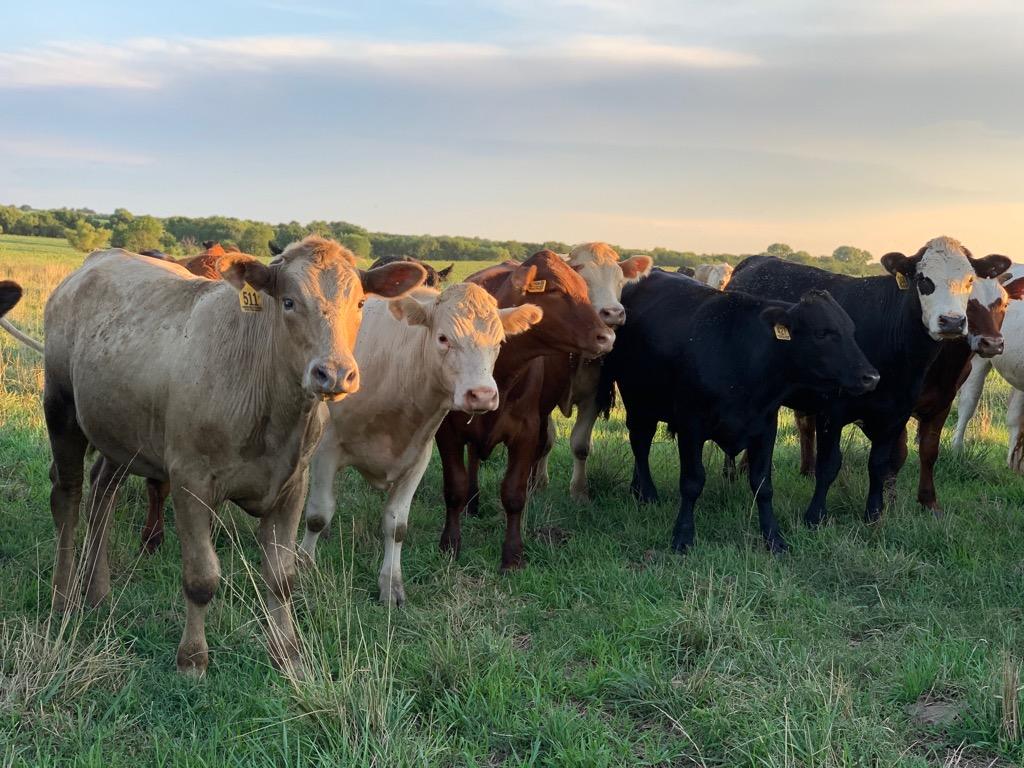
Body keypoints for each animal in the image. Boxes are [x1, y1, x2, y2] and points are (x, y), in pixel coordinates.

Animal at [41, 236, 425, 676]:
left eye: (360, 303)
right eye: (289, 301)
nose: (334, 373)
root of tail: (100, 258)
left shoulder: (293, 485)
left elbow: (281, 577)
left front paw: (288, 654)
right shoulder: (190, 480)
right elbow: (201, 576)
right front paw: (192, 659)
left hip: (121, 431)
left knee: (102, 493)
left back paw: (98, 590)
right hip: (62, 407)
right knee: (67, 498)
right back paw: (63, 597)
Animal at [297, 283, 542, 605]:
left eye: (499, 341)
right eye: (443, 338)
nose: (483, 395)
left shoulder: (418, 458)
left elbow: (396, 525)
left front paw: (391, 585)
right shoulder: (326, 447)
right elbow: (318, 514)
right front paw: (303, 566)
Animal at [435, 250, 614, 571]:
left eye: (584, 288)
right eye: (554, 289)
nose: (606, 337)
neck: (500, 373)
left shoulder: (526, 431)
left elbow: (513, 493)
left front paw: (513, 555)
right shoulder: (448, 432)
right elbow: (454, 487)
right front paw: (450, 544)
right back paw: (473, 501)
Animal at [599, 269, 877, 552]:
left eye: (851, 331)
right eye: (822, 333)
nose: (871, 377)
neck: (740, 355)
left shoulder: (765, 428)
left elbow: (763, 485)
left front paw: (774, 539)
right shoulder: (691, 425)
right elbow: (692, 483)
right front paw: (683, 536)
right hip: (637, 402)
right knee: (640, 445)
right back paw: (646, 493)